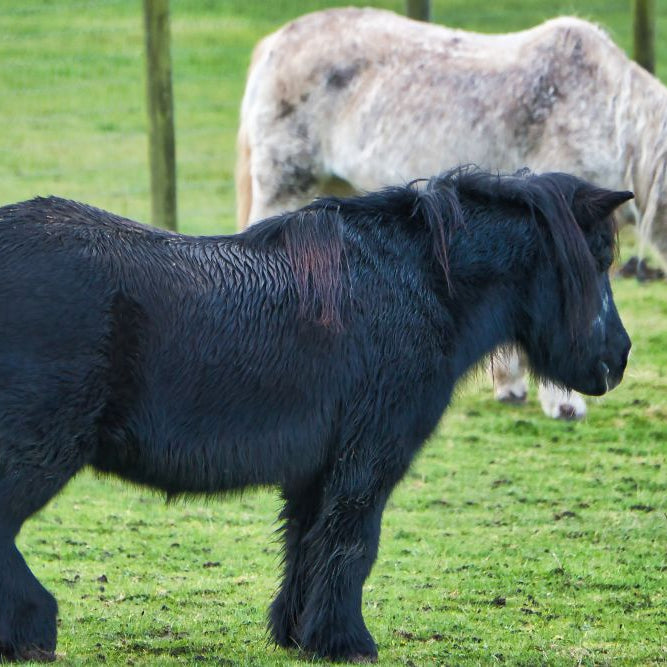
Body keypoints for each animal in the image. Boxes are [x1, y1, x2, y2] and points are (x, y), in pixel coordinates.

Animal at [0, 169, 631, 662]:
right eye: (598, 260)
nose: (620, 357)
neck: (419, 285)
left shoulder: (315, 470)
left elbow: (306, 543)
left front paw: (297, 633)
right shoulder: (367, 460)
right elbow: (351, 543)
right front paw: (345, 641)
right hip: (39, 453)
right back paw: (33, 627)